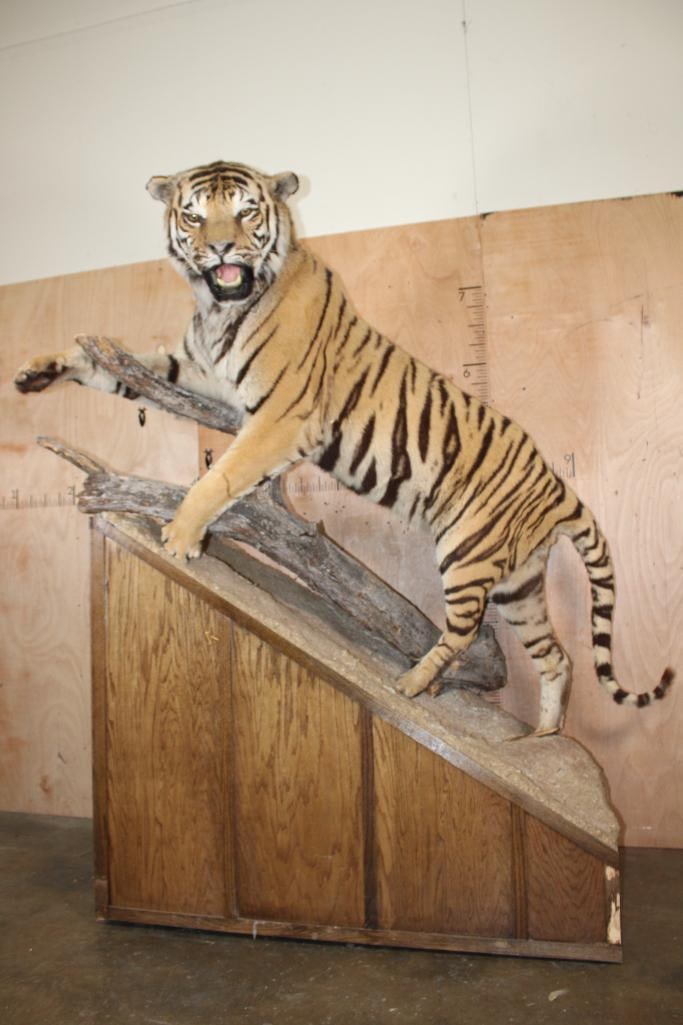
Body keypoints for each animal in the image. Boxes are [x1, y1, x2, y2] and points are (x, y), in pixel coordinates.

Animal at [15, 159, 674, 736]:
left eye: (247, 211)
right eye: (195, 216)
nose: (223, 249)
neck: (220, 309)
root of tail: (560, 486)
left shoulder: (282, 415)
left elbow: (222, 476)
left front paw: (180, 536)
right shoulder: (193, 369)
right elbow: (117, 365)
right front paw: (38, 371)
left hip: (468, 553)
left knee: (467, 631)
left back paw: (413, 684)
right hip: (522, 585)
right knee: (557, 655)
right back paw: (540, 737)